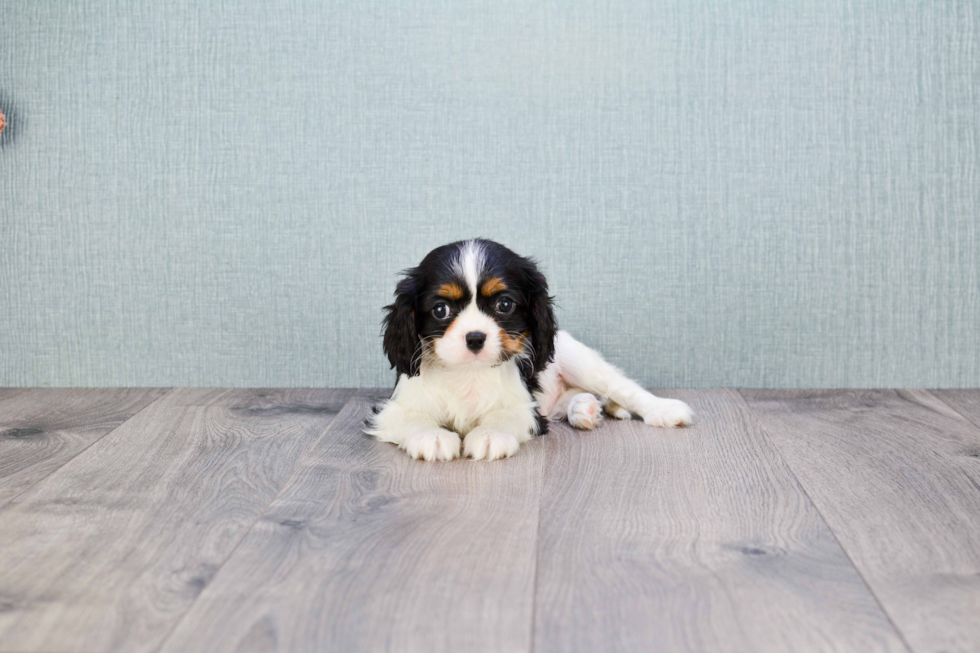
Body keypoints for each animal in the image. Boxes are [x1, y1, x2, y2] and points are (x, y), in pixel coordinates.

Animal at [368, 237, 696, 460]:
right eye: (440, 310)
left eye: (504, 305)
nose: (475, 337)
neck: (468, 373)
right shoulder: (390, 409)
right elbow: (412, 418)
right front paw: (433, 437)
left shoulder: (526, 410)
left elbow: (504, 416)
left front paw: (489, 435)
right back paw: (585, 409)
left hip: (578, 359)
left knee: (620, 387)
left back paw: (661, 409)